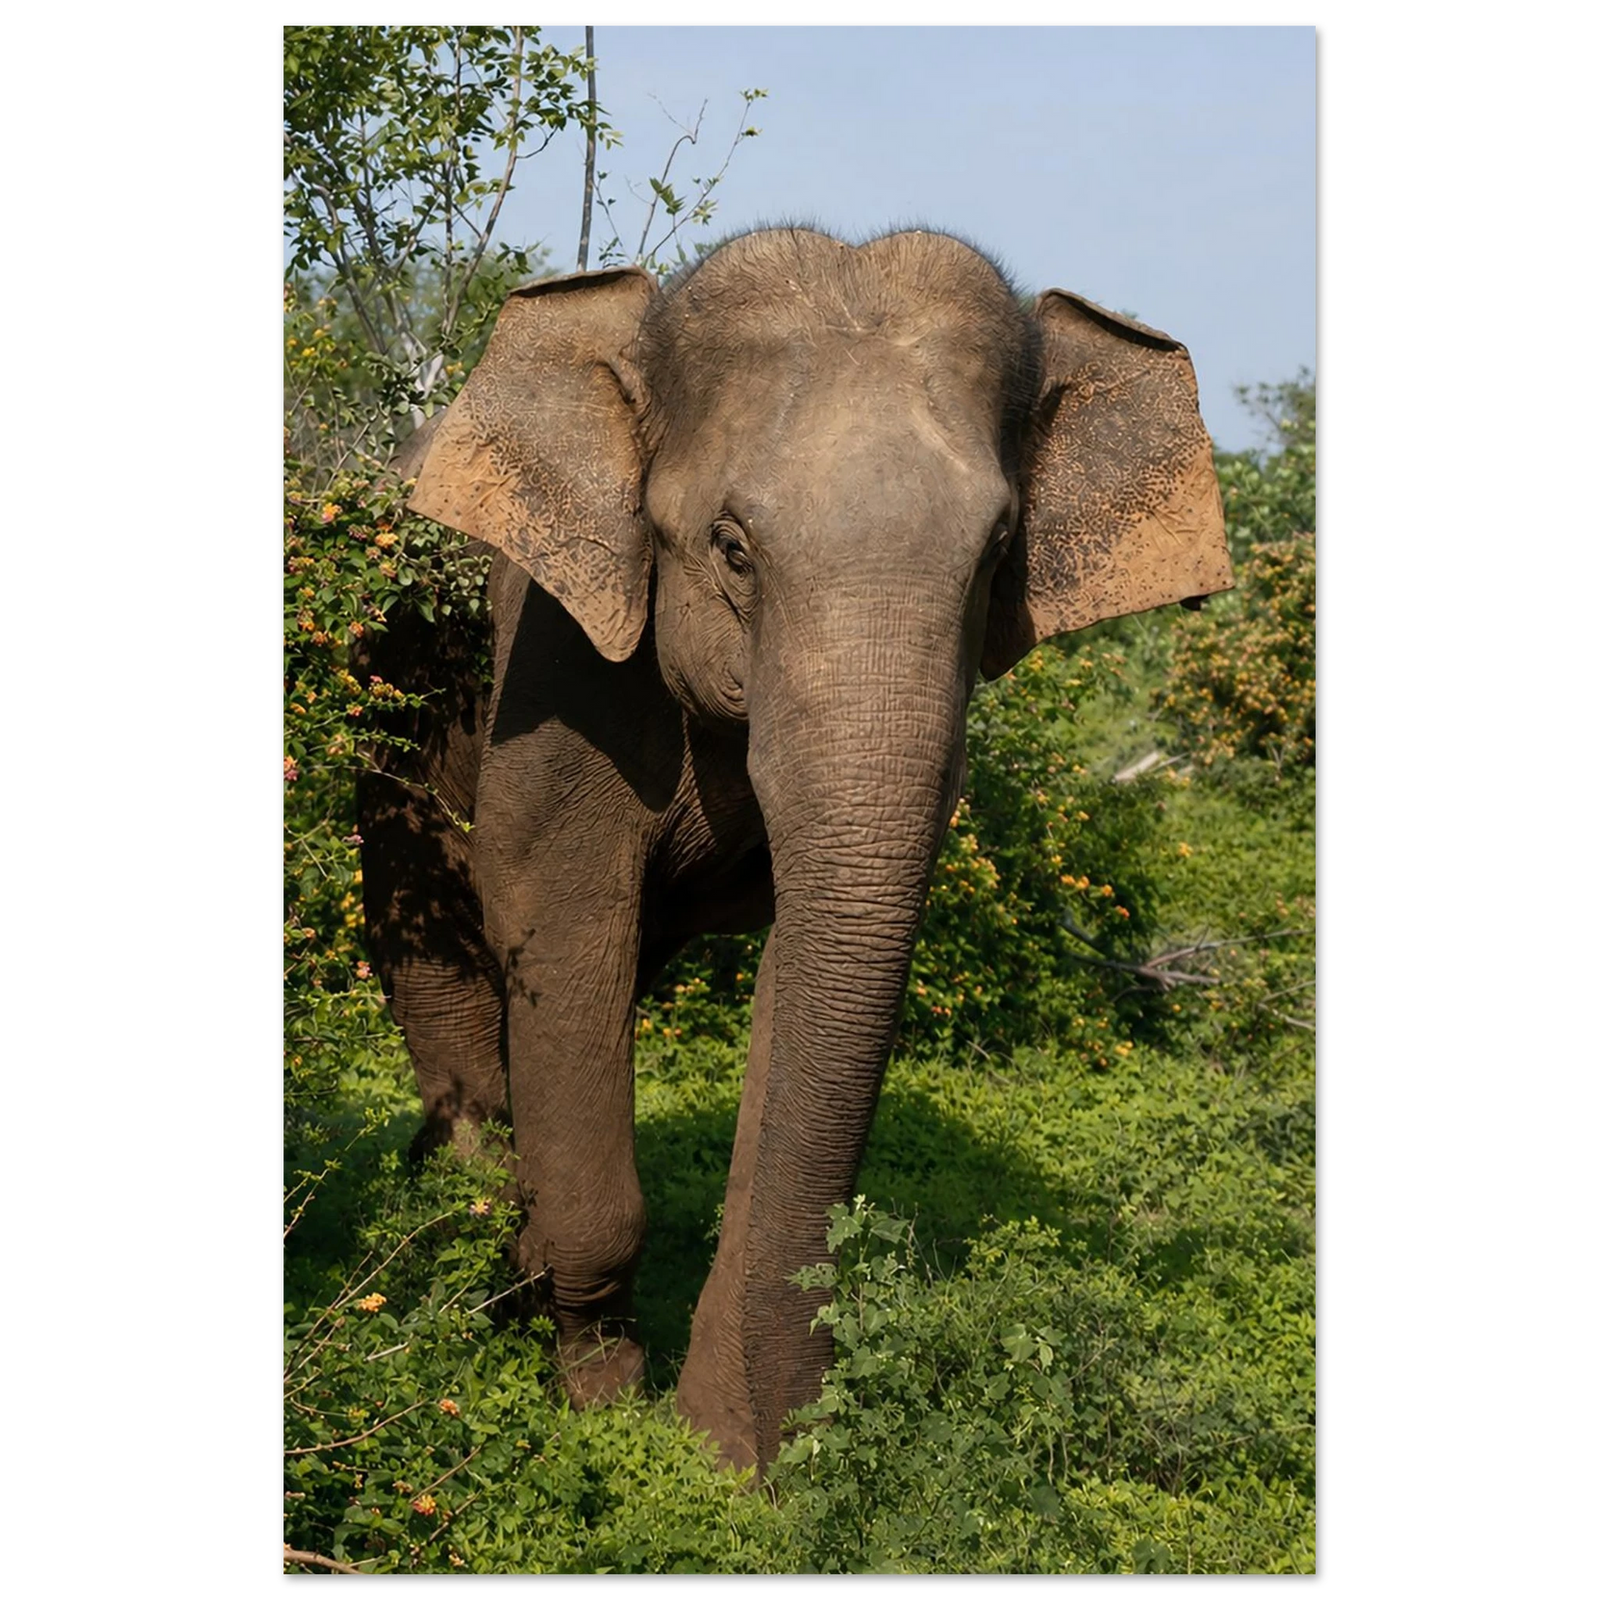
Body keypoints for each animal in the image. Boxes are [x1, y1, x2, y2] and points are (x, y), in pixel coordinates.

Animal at [358, 226, 1232, 1472]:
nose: (783, 1459)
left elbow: (802, 963)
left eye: (996, 553)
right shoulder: (557, 663)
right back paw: (459, 1224)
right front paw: (598, 1397)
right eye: (731, 547)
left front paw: (716, 1450)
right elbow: (554, 914)